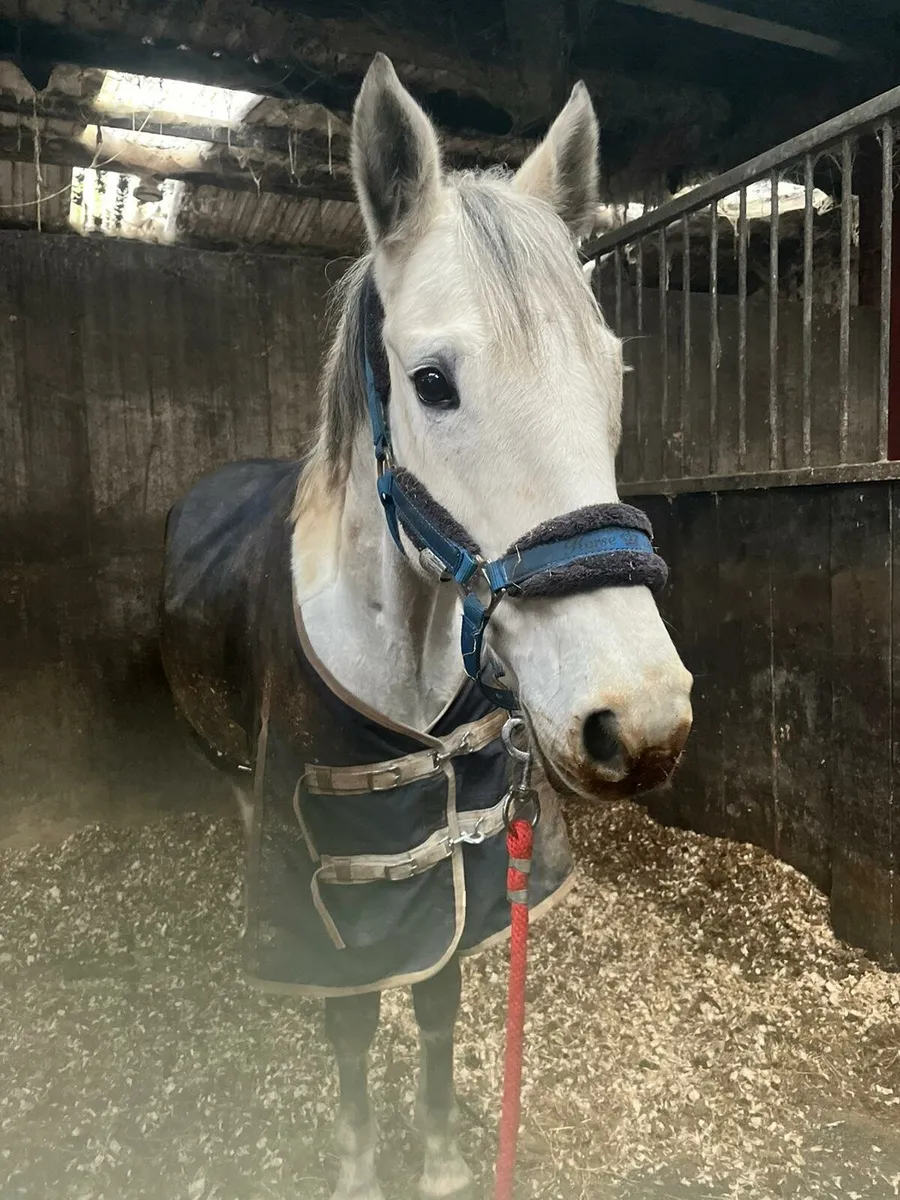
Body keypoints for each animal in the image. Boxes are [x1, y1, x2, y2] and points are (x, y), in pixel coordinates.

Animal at [159, 53, 693, 1200]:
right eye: (432, 382)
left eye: (612, 370)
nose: (641, 721)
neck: (398, 663)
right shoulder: (338, 893)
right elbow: (354, 1022)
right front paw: (362, 1167)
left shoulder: (464, 869)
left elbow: (440, 997)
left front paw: (446, 1157)